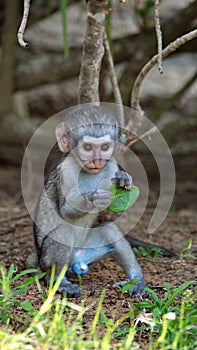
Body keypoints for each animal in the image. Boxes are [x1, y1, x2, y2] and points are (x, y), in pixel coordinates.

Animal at [32, 105, 146, 296]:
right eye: (87, 147)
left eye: (105, 147)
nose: (97, 161)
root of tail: (75, 262)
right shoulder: (67, 170)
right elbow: (66, 210)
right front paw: (94, 198)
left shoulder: (111, 165)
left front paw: (124, 178)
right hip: (45, 260)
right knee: (63, 233)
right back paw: (59, 282)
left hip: (85, 253)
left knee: (110, 230)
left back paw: (136, 280)